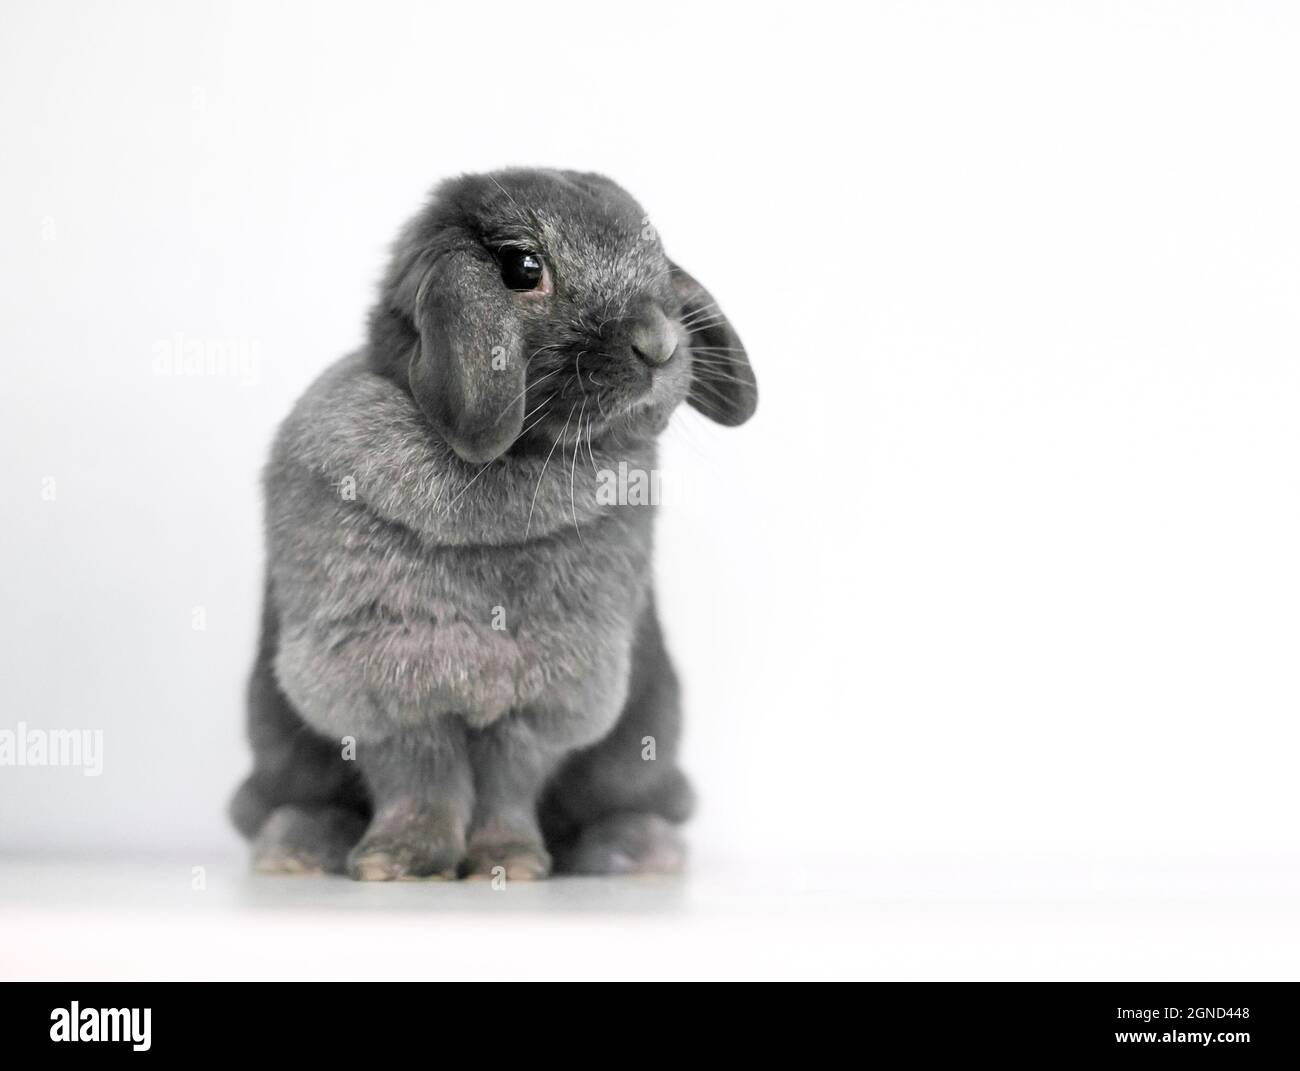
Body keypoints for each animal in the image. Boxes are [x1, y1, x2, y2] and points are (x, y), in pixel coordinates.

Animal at [228, 169, 757, 880]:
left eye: (658, 261)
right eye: (523, 268)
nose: (661, 343)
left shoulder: (546, 690)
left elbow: (509, 782)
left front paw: (509, 864)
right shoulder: (386, 678)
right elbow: (421, 776)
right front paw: (399, 863)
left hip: (641, 750)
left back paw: (634, 853)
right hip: (279, 749)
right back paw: (297, 850)